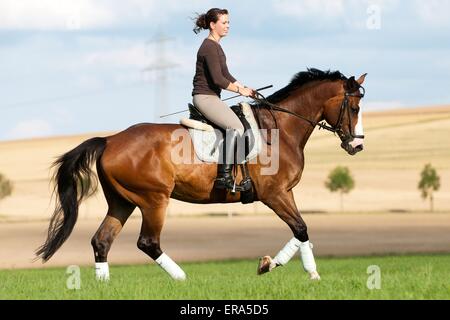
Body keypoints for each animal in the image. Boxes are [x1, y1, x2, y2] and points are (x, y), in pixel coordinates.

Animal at [35, 68, 366, 280]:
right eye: (353, 107)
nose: (357, 145)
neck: (281, 130)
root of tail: (109, 140)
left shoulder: (287, 192)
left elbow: (302, 231)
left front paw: (293, 269)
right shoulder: (274, 194)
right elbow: (300, 228)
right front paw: (289, 269)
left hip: (122, 201)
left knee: (102, 241)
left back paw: (105, 286)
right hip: (153, 200)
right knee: (147, 242)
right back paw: (182, 278)